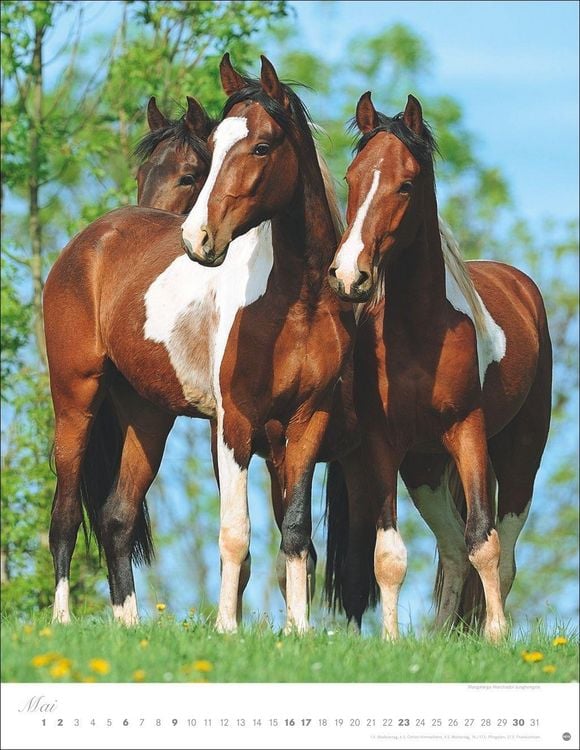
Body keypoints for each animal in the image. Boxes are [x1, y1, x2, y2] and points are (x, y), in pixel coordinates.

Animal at [43, 54, 354, 634]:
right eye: (212, 150)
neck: (295, 301)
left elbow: (297, 531)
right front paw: (227, 629)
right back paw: (62, 620)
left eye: (262, 146)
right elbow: (236, 532)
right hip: (75, 401)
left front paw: (299, 631)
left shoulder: (307, 422)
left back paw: (129, 624)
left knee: (117, 516)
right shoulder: (234, 423)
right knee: (67, 515)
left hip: (147, 415)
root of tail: (90, 241)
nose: (198, 239)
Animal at [325, 92, 552, 642]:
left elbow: (484, 542)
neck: (419, 333)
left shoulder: (467, 432)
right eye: (351, 177)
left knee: (502, 548)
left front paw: (495, 636)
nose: (349, 275)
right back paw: (442, 634)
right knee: (450, 549)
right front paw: (390, 640)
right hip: (424, 470)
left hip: (520, 454)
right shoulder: (385, 445)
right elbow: (389, 553)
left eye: (406, 183)